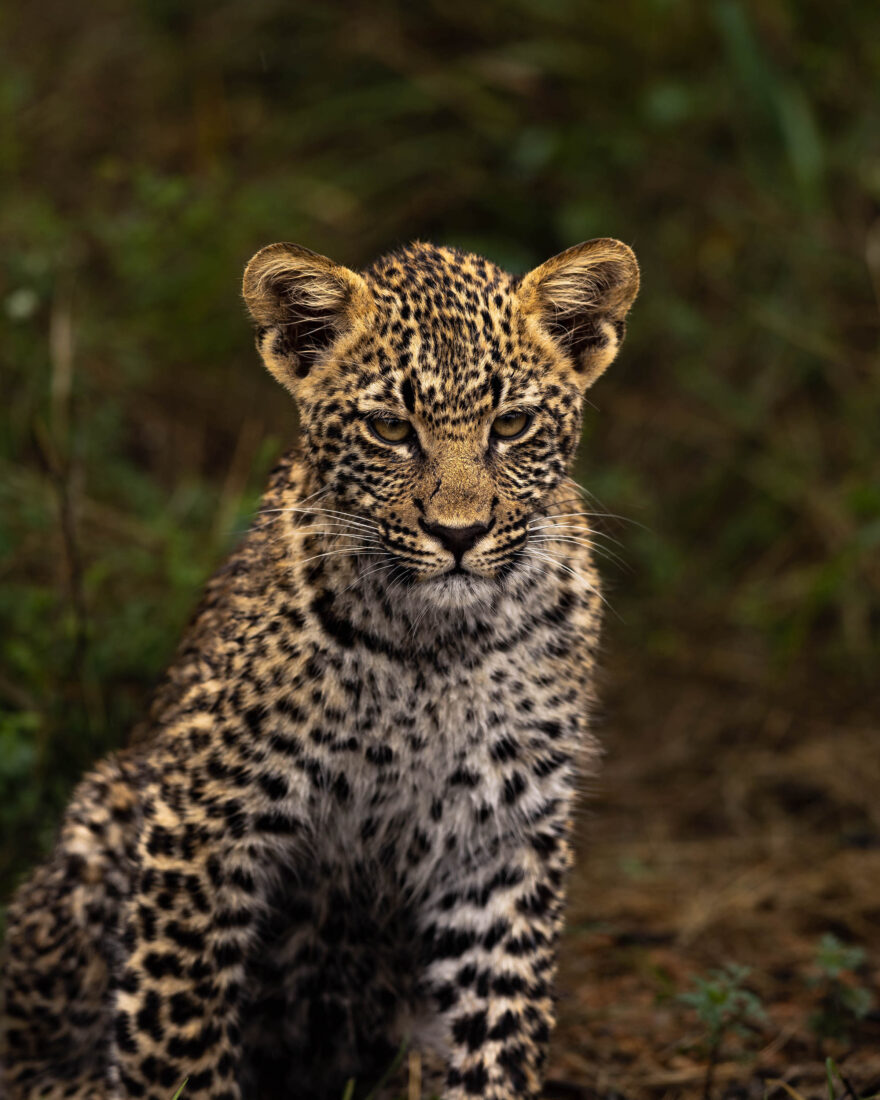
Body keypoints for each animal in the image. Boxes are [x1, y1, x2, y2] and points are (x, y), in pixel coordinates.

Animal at [0, 235, 639, 1100]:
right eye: (390, 428)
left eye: (512, 424)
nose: (459, 534)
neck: (435, 645)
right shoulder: (201, 815)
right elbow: (178, 1037)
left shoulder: (502, 833)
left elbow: (501, 1026)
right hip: (101, 819)